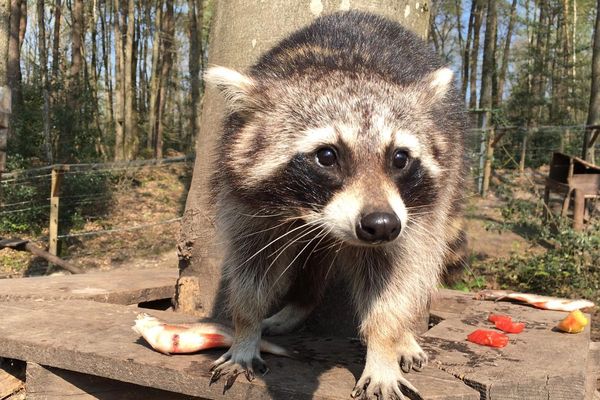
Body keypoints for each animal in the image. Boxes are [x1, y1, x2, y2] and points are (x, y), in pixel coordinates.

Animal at [205, 10, 464, 398]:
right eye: (327, 156)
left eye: (400, 158)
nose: (382, 225)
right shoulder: (246, 202)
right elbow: (252, 271)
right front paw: (245, 332)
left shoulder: (408, 218)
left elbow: (394, 279)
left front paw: (385, 344)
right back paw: (300, 304)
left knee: (420, 265)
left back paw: (403, 334)